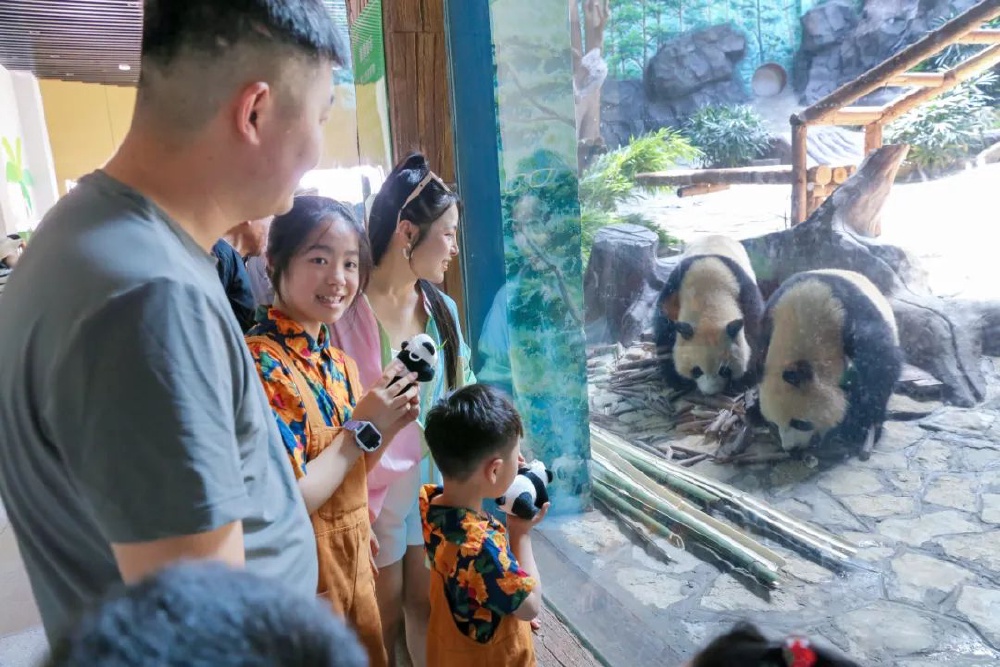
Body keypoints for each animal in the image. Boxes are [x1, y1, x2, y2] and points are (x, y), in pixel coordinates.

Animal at [652, 235, 760, 394]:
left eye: (724, 370)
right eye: (696, 370)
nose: (711, 392)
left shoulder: (744, 289)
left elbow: (755, 328)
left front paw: (744, 380)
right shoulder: (675, 286)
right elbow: (664, 327)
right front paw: (677, 379)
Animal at [756, 268, 908, 456]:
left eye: (799, 423)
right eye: (774, 424)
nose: (791, 449)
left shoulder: (852, 318)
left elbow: (879, 366)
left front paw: (859, 426)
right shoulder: (770, 320)